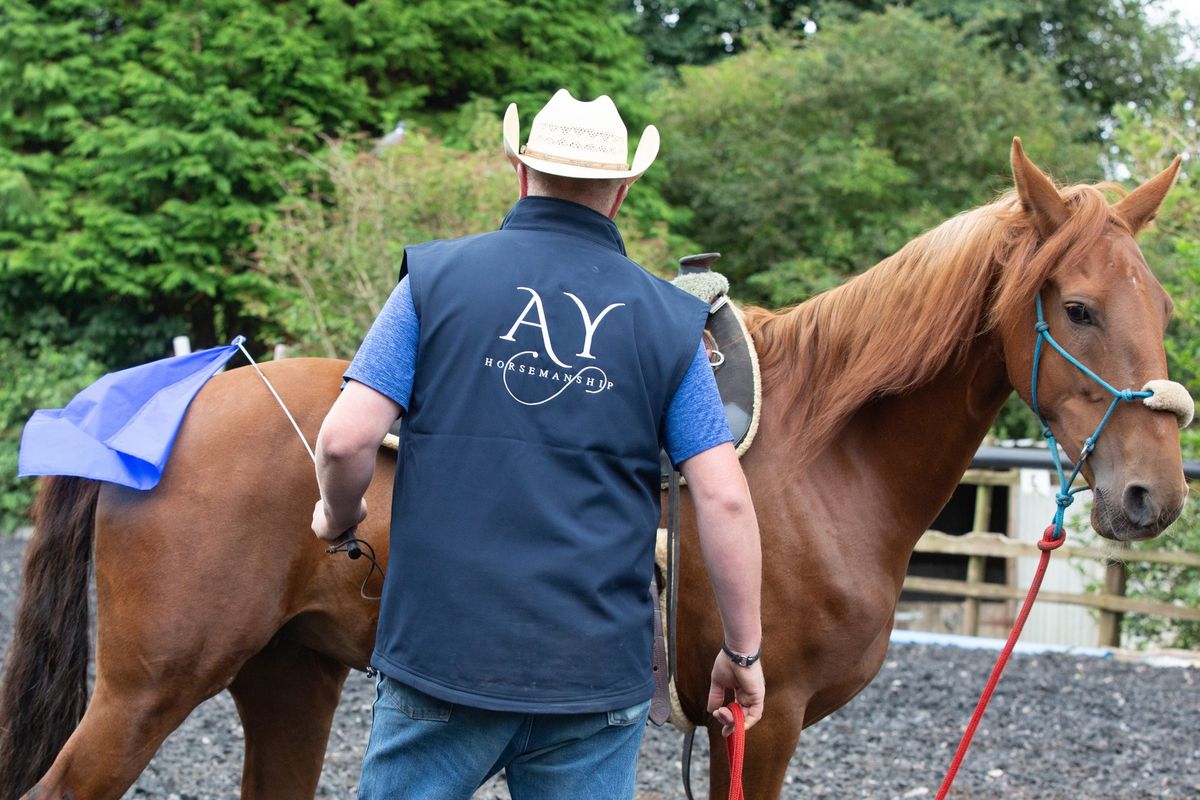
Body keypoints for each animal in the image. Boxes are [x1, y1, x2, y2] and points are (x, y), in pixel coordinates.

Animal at [0, 143, 1185, 800]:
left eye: (1164, 307)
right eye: (1078, 307)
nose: (1153, 494)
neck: (828, 453)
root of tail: (177, 393)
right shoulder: (765, 718)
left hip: (288, 673)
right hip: (149, 687)